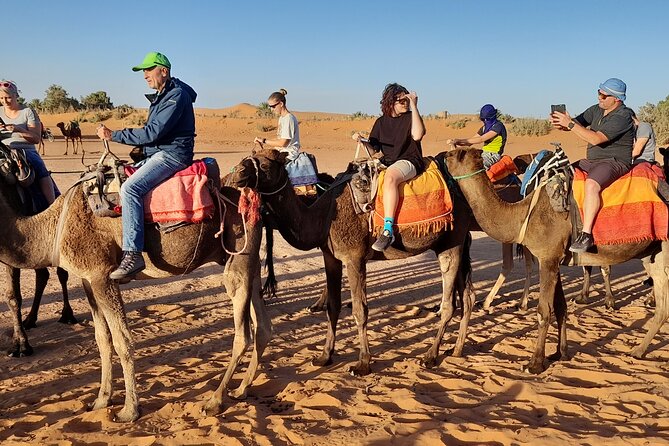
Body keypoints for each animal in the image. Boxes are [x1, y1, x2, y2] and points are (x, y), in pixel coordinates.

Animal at [0, 168, 270, 422]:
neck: (52, 226)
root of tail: (254, 201)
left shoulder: (103, 275)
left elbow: (122, 341)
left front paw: (129, 410)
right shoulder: (88, 280)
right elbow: (102, 340)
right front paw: (101, 401)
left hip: (239, 253)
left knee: (243, 331)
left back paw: (214, 400)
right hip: (249, 261)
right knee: (263, 327)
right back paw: (241, 389)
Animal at [232, 148, 472, 374]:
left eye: (264, 164)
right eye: (249, 157)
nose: (238, 173)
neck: (323, 216)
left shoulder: (354, 257)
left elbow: (359, 310)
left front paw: (362, 364)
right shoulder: (331, 257)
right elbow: (333, 307)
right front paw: (324, 356)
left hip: (452, 242)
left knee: (450, 303)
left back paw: (430, 356)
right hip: (455, 243)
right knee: (467, 298)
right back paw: (456, 349)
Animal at [444, 149, 668, 372]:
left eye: (457, 154)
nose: (443, 156)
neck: (522, 214)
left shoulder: (548, 258)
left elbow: (544, 310)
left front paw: (534, 364)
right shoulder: (554, 259)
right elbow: (560, 307)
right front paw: (560, 353)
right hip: (653, 254)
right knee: (662, 306)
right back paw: (637, 351)